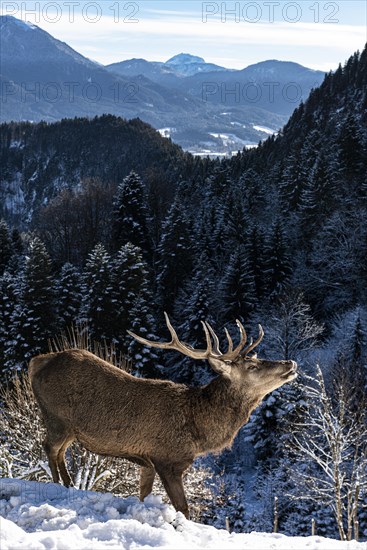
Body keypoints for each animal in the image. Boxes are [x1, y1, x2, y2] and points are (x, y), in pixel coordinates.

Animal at [28, 314, 300, 520]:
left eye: (256, 358)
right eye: (252, 366)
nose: (290, 363)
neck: (198, 430)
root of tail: (35, 363)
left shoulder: (146, 460)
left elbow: (143, 494)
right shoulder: (166, 458)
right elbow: (183, 508)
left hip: (70, 429)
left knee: (60, 452)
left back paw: (68, 484)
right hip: (56, 417)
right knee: (49, 447)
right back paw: (57, 486)